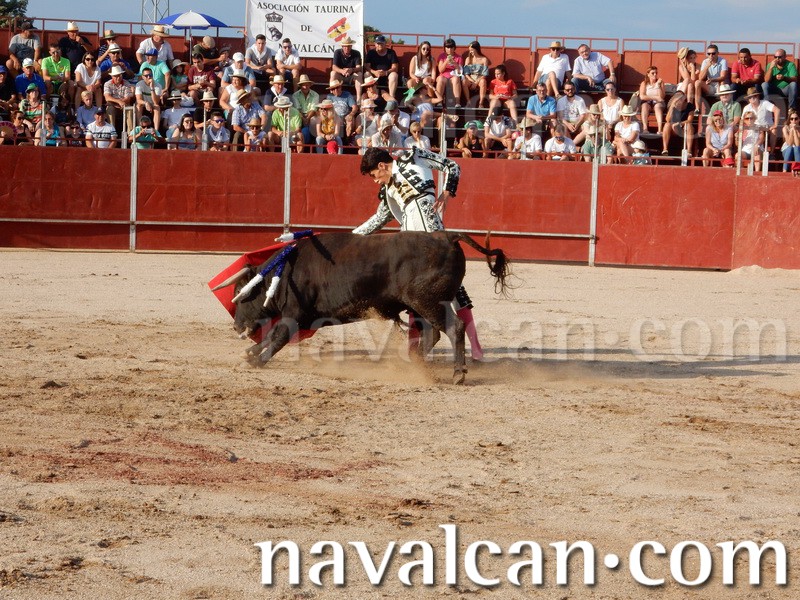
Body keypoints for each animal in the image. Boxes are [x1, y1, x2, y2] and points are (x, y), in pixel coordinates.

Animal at [212, 231, 509, 384]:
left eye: (240, 294)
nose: (236, 326)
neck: (283, 272)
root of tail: (447, 236)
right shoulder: (299, 317)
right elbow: (271, 336)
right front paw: (249, 354)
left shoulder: (295, 314)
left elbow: (278, 337)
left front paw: (256, 361)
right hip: (420, 305)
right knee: (433, 333)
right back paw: (415, 366)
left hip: (428, 302)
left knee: (454, 327)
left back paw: (457, 373)